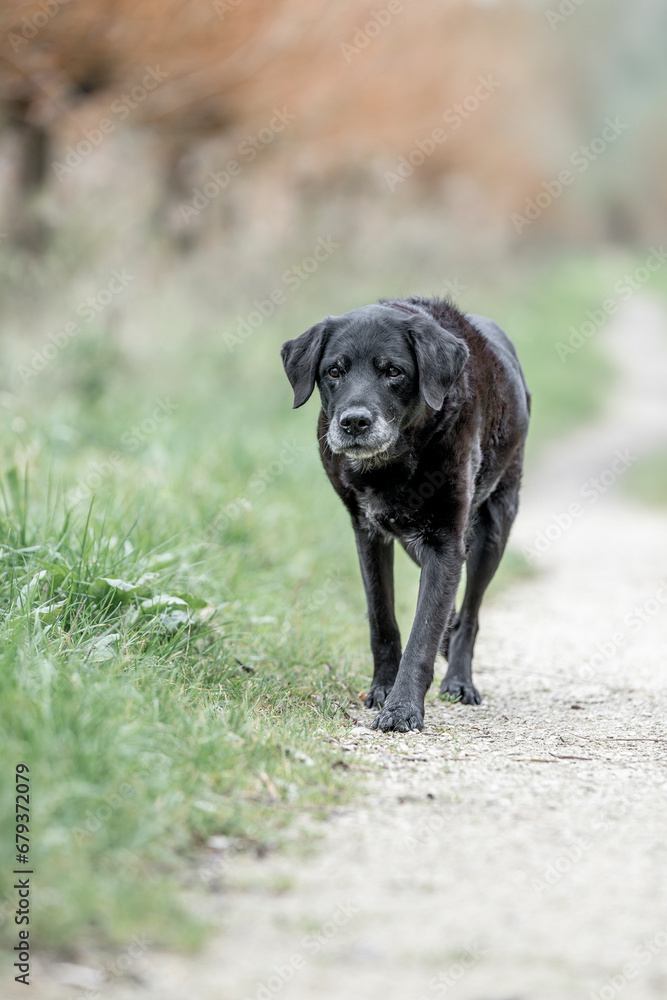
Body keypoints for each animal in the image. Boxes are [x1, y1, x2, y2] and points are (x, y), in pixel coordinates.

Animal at [281, 296, 530, 732]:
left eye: (393, 371)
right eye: (334, 371)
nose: (354, 422)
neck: (393, 463)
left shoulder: (446, 541)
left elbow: (424, 631)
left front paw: (402, 709)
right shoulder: (368, 532)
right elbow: (382, 619)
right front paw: (381, 688)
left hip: (494, 526)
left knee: (470, 612)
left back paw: (459, 680)